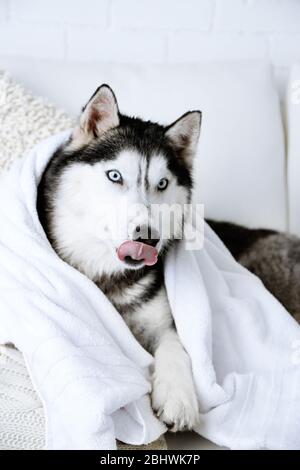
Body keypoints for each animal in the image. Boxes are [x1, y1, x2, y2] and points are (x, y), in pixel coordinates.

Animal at [37, 83, 202, 430]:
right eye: (115, 176)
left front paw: (178, 396)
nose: (149, 236)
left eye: (162, 183)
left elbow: (175, 344)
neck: (105, 272)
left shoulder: (161, 320)